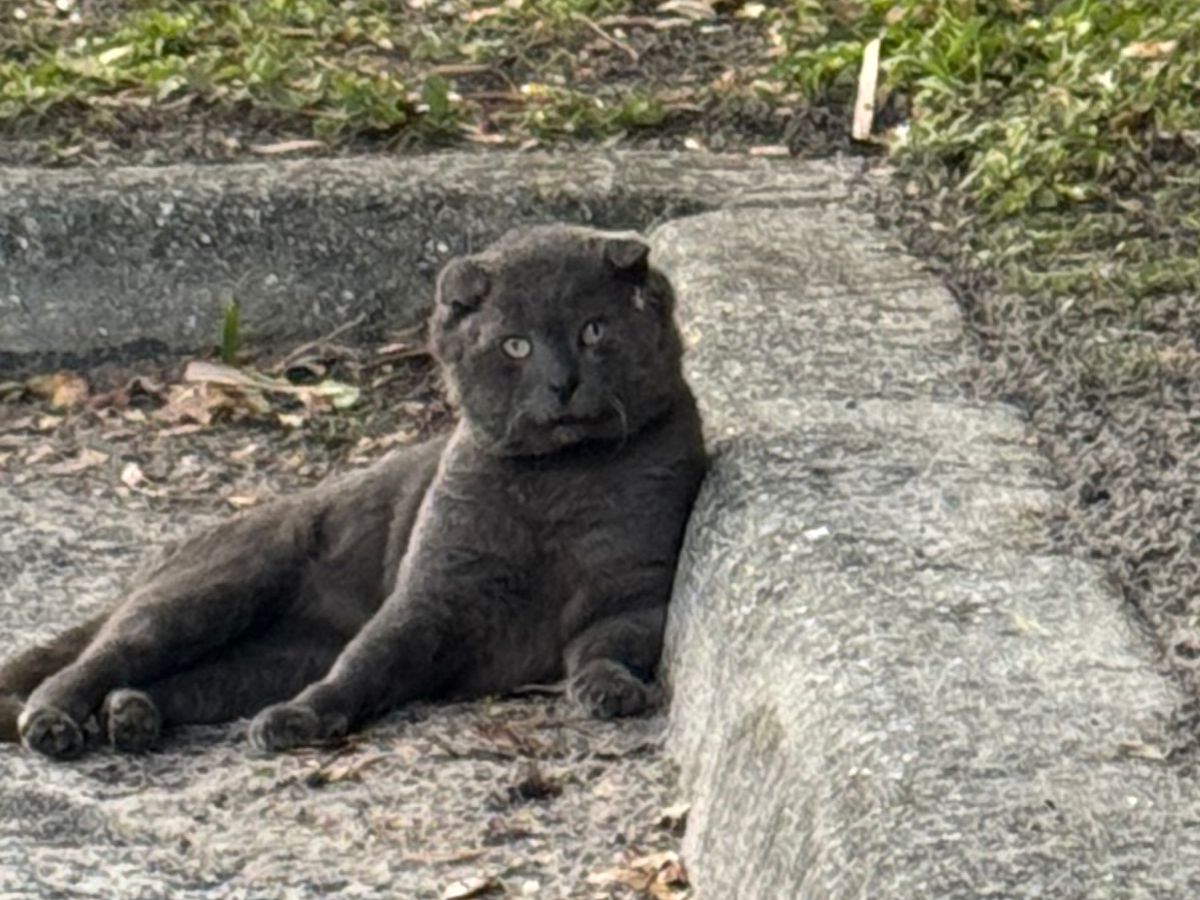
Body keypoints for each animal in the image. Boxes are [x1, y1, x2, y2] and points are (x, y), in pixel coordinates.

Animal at [0, 224, 708, 760]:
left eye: (593, 330)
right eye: (515, 346)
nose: (562, 383)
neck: (560, 484)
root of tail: (158, 560)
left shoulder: (636, 591)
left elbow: (604, 646)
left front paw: (609, 690)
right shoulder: (431, 593)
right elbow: (365, 663)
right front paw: (299, 720)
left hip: (263, 659)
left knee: (182, 682)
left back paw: (131, 716)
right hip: (209, 591)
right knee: (99, 655)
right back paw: (54, 722)